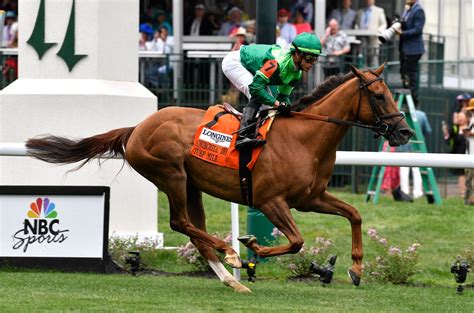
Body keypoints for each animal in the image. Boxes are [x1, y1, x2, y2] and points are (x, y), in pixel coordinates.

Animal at [25, 64, 412, 292]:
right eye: (379, 96)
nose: (405, 131)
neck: (306, 138)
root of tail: (137, 127)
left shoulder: (310, 198)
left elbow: (354, 215)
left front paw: (357, 269)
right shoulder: (270, 202)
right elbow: (297, 241)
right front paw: (253, 248)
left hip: (191, 185)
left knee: (193, 231)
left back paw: (231, 280)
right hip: (171, 175)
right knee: (180, 223)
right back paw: (231, 254)